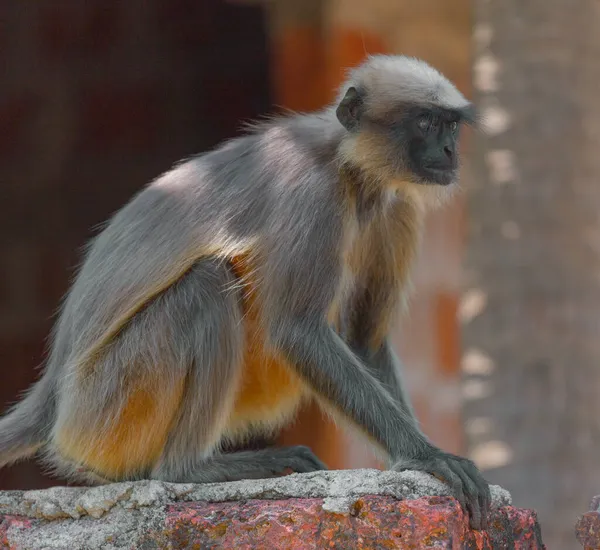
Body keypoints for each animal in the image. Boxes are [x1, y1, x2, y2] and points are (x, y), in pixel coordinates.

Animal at [0, 55, 492, 532]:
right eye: (425, 122)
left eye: (450, 125)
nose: (450, 151)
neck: (348, 165)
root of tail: (55, 395)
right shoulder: (311, 191)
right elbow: (297, 331)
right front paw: (429, 456)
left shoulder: (396, 204)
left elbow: (363, 340)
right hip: (108, 399)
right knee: (206, 286)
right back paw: (188, 469)